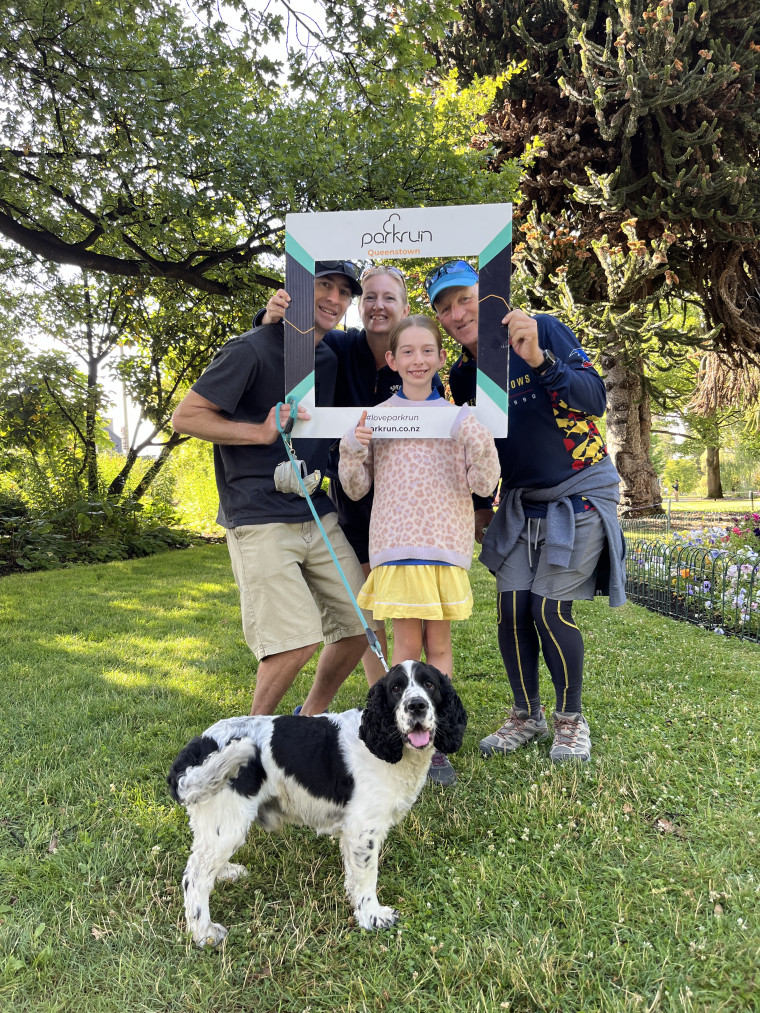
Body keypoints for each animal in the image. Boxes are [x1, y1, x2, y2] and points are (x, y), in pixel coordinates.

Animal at [169, 660, 468, 944]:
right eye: (396, 688)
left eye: (429, 684)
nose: (416, 705)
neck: (382, 744)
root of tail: (197, 747)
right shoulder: (364, 829)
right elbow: (367, 876)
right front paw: (373, 916)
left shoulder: (351, 832)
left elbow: (354, 876)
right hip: (227, 820)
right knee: (194, 877)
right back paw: (204, 933)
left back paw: (226, 872)